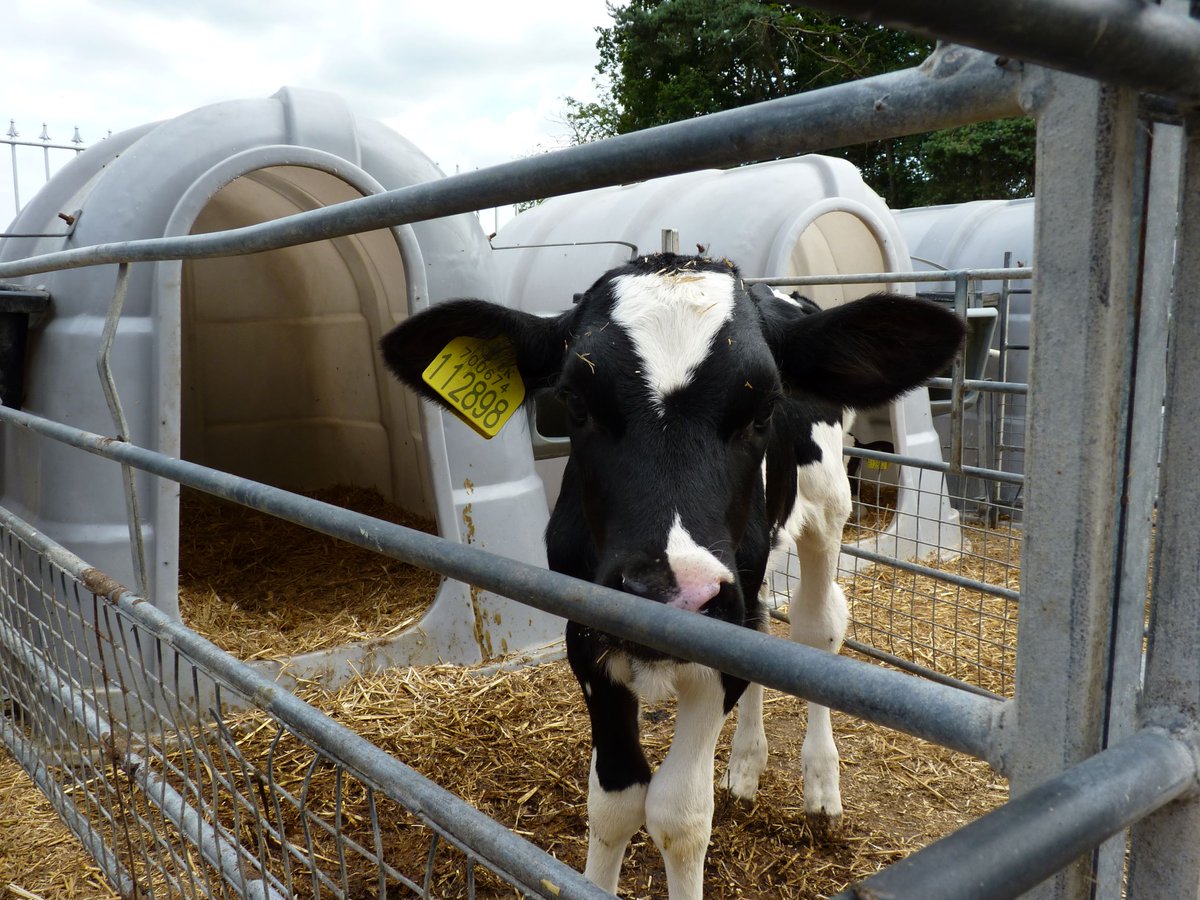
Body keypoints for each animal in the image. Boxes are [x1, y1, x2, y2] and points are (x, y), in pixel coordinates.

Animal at [380, 253, 964, 898]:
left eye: (764, 409)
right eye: (575, 403)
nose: (670, 596)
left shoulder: (717, 634)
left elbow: (679, 816)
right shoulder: (586, 631)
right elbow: (614, 801)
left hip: (827, 505)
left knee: (818, 627)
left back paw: (820, 789)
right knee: (765, 623)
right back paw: (745, 766)